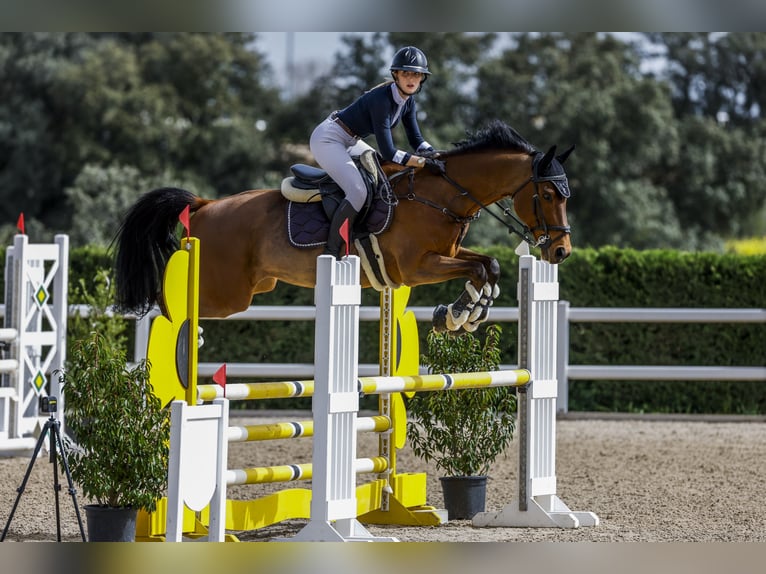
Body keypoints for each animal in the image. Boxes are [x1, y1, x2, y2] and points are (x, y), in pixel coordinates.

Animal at [112, 121, 568, 336]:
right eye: (548, 195)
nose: (560, 251)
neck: (442, 194)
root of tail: (204, 205)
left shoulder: (447, 256)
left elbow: (489, 266)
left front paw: (462, 315)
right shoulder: (416, 267)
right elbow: (478, 269)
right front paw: (457, 314)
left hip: (250, 288)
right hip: (224, 294)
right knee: (166, 301)